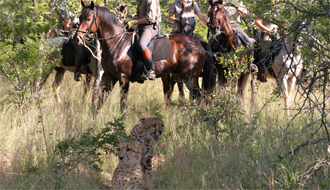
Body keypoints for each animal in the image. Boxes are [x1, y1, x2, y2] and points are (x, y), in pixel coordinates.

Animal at [74, 1, 214, 110]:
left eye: (88, 19)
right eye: (80, 18)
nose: (77, 39)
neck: (117, 42)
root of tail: (198, 42)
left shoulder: (123, 78)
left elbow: (122, 105)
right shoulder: (109, 77)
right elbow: (100, 102)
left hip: (189, 78)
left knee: (200, 97)